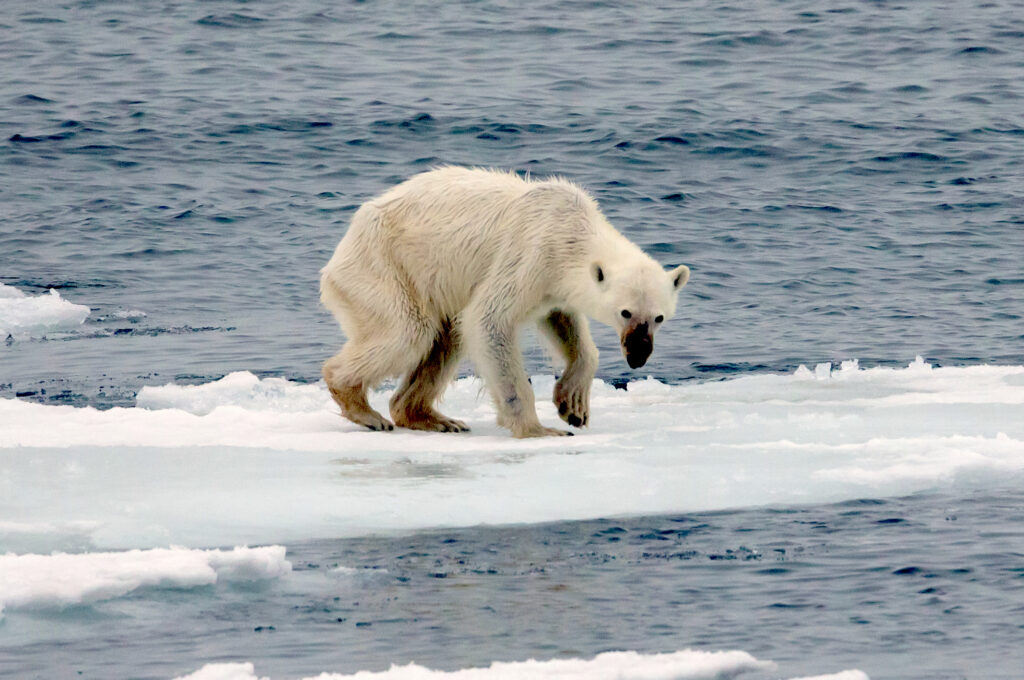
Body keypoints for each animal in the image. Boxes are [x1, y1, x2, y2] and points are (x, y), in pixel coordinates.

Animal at [319, 166, 688, 438]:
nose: (638, 355)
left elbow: (564, 323)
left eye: (659, 317)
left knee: (445, 338)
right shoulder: (530, 253)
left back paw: (434, 418)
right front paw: (539, 429)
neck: (571, 230)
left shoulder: (552, 285)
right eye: (625, 312)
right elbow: (489, 320)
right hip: (384, 267)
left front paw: (573, 405)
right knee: (409, 331)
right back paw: (364, 408)